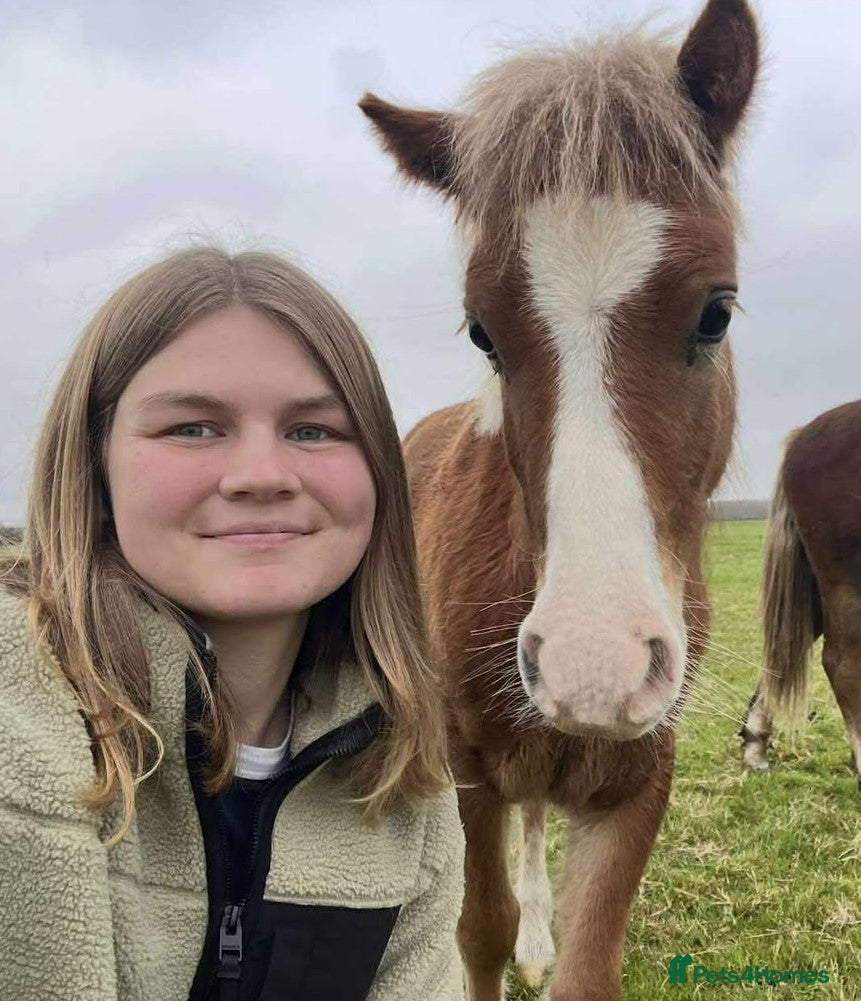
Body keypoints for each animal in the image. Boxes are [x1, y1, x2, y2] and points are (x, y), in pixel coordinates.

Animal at [361, 2, 759, 998]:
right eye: (482, 331)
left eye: (716, 311)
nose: (592, 666)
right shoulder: (466, 765)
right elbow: (478, 925)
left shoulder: (639, 777)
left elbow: (586, 959)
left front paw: (551, 944)